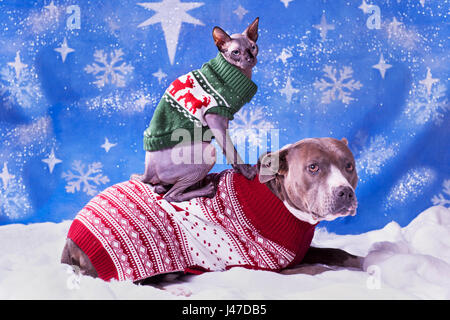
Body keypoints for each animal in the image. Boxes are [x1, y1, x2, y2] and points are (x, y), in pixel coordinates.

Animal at [63, 136, 364, 282]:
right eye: (313, 167)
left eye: (349, 166)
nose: (345, 192)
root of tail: (70, 238)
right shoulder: (273, 268)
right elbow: (321, 270)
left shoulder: (300, 252)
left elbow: (337, 253)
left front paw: (362, 261)